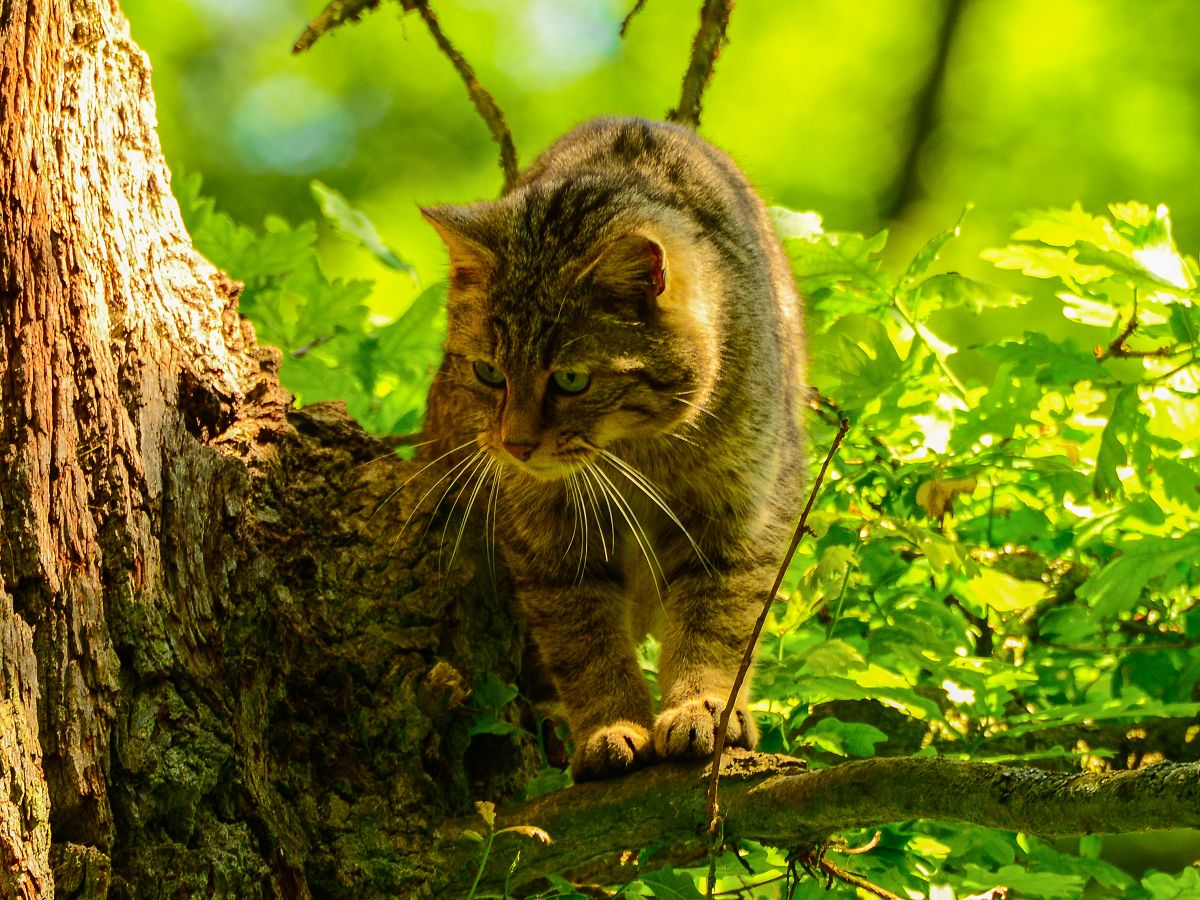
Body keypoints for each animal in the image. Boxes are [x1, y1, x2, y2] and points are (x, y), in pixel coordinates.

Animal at [422, 118, 806, 782]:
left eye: (572, 379)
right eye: (488, 372)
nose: (516, 445)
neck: (637, 453)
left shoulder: (739, 516)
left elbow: (716, 624)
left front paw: (703, 707)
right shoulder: (549, 542)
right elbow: (585, 644)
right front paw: (610, 727)